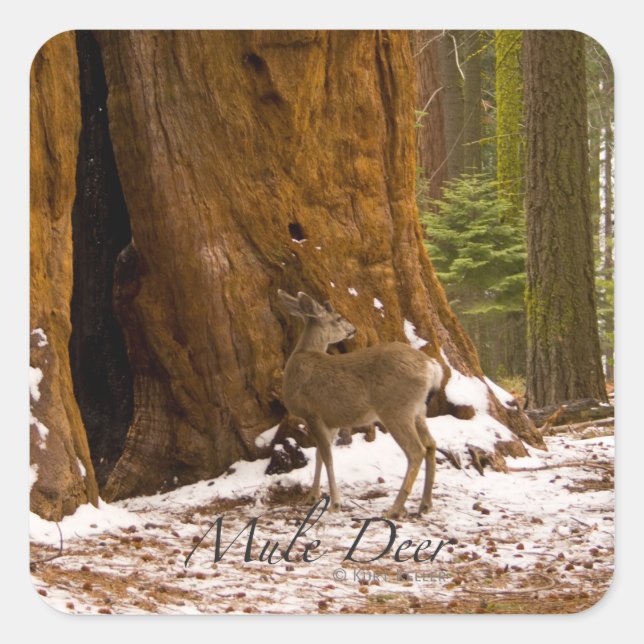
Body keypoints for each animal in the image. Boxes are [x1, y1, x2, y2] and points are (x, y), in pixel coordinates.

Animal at [277, 290, 443, 519]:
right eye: (339, 318)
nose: (353, 329)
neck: (302, 356)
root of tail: (432, 366)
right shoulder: (330, 419)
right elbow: (320, 455)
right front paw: (312, 496)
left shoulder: (312, 412)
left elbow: (327, 456)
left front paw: (335, 503)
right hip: (418, 410)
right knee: (431, 444)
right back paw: (425, 504)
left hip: (396, 409)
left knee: (416, 450)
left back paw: (395, 509)